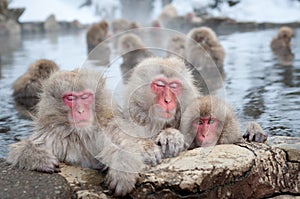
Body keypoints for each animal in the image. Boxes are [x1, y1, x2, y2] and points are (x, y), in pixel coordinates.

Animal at [7, 69, 162, 196]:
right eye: (70, 98)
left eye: (85, 96)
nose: (80, 111)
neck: (82, 134)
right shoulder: (52, 134)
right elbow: (17, 151)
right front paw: (39, 158)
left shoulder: (108, 127)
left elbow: (125, 144)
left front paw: (122, 173)